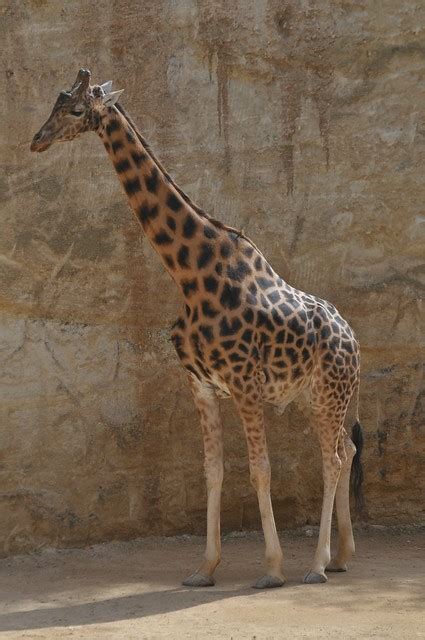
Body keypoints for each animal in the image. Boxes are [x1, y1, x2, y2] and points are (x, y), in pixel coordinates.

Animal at [29, 70, 362, 592]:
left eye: (77, 110)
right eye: (55, 103)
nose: (36, 140)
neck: (189, 276)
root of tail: (355, 341)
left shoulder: (246, 385)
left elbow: (260, 470)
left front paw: (271, 568)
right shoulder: (201, 386)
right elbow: (213, 471)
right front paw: (204, 569)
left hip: (330, 392)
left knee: (331, 458)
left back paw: (317, 565)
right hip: (314, 396)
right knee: (346, 448)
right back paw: (343, 555)